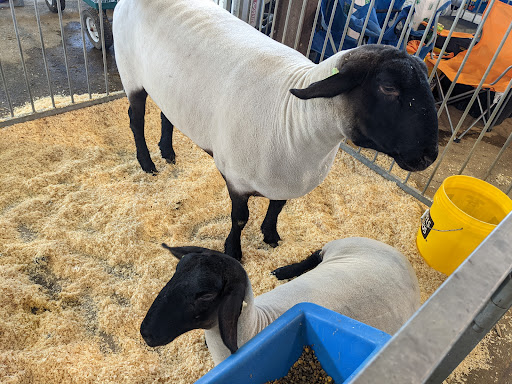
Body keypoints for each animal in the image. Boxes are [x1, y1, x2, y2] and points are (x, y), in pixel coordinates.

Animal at [114, 0, 438, 260]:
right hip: (131, 74)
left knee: (167, 115)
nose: (429, 156)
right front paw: (234, 251)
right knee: (135, 120)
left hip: (168, 88)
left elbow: (278, 207)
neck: (293, 119)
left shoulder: (285, 179)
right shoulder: (237, 179)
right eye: (388, 87)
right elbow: (239, 219)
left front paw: (271, 236)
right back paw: (147, 162)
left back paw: (167, 151)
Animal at [139, 237, 420, 366]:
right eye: (177, 270)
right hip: (340, 244)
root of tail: (402, 257)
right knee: (314, 256)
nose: (145, 333)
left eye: (206, 295)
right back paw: (281, 271)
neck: (254, 326)